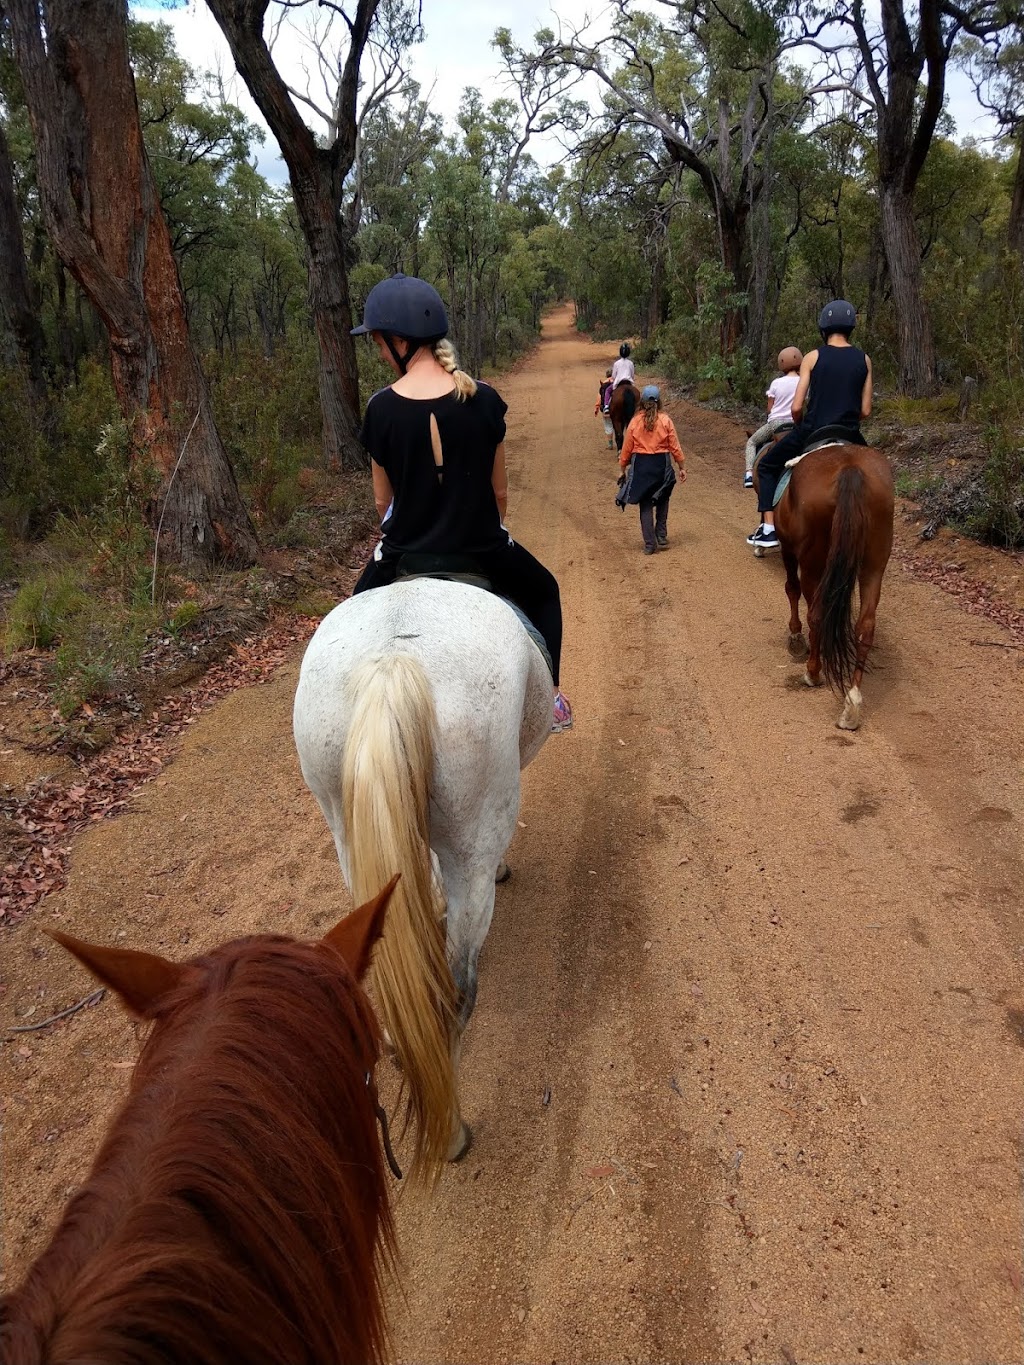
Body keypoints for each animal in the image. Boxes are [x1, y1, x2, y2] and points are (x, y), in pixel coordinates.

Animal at [759, 442, 895, 731]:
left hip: (813, 560)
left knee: (817, 614)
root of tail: (850, 468)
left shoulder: (789, 550)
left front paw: (796, 638)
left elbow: (791, 588)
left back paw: (812, 672)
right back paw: (851, 705)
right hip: (875, 561)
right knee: (865, 626)